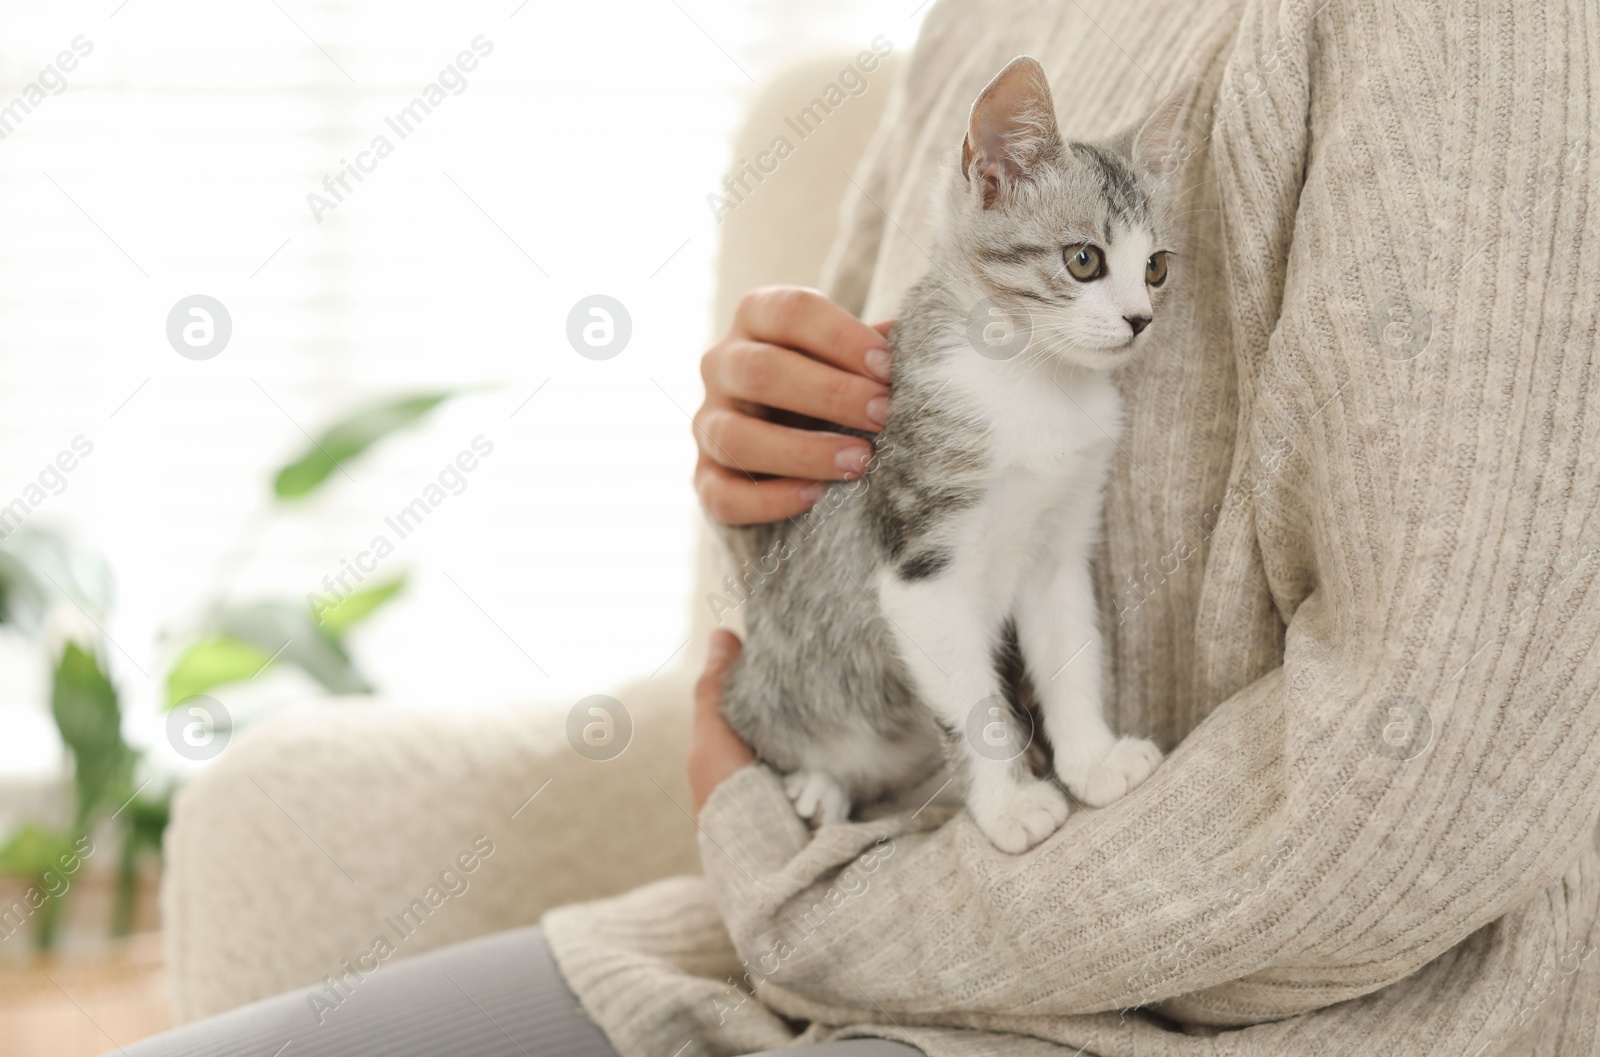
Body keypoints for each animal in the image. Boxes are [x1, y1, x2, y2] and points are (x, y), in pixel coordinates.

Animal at [720, 55, 1184, 850]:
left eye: (1154, 267)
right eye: (1083, 259)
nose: (1139, 320)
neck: (1034, 385)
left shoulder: (1060, 545)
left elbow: (1071, 654)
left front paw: (1091, 760)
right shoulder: (919, 563)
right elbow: (972, 703)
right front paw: (1008, 806)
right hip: (778, 687)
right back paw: (817, 785)